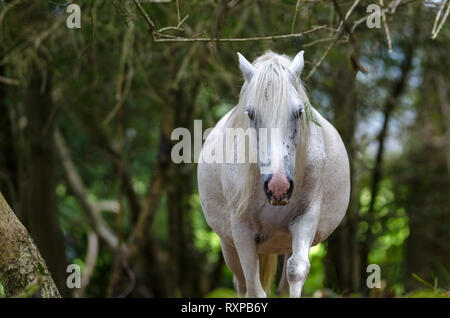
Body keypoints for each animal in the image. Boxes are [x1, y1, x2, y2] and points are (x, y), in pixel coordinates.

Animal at [198, 51, 352, 296]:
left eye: (298, 112)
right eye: (251, 114)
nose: (278, 186)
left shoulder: (306, 219)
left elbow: (296, 271)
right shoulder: (241, 231)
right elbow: (254, 289)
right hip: (228, 246)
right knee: (241, 283)